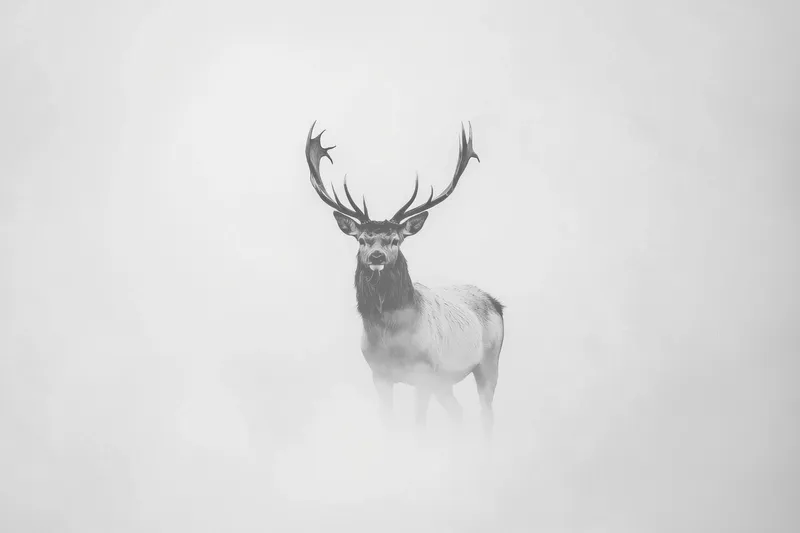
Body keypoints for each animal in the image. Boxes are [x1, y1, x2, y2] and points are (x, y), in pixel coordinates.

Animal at [304, 121, 505, 436]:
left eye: (396, 240)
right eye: (362, 239)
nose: (376, 256)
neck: (392, 338)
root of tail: (496, 302)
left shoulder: (424, 373)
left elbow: (419, 424)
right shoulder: (379, 374)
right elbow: (387, 421)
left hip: (488, 360)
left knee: (486, 413)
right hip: (445, 382)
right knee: (458, 412)